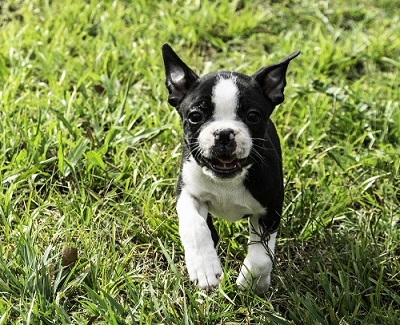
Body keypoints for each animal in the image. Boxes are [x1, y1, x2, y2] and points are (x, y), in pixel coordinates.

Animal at [161, 43, 298, 294]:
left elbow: (262, 256)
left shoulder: (270, 209)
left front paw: (252, 281)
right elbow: (195, 226)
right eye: (195, 116)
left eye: (253, 116)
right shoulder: (188, 192)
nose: (224, 133)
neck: (227, 181)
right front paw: (204, 268)